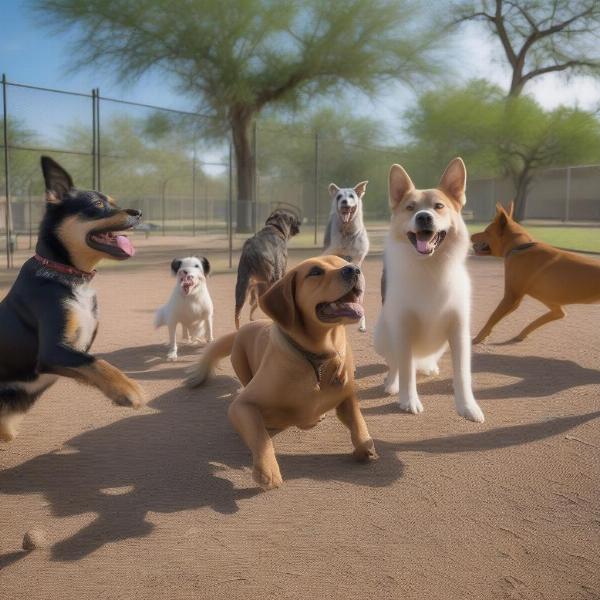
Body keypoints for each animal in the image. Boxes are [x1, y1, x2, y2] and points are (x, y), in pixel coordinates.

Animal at [0, 157, 145, 442]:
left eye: (113, 201)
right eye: (97, 204)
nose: (138, 212)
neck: (69, 275)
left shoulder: (69, 351)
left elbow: (90, 364)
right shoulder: (52, 350)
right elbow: (97, 362)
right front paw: (128, 388)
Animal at [185, 255, 378, 490]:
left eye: (344, 261)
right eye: (315, 272)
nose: (354, 269)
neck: (317, 358)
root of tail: (245, 327)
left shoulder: (347, 394)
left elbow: (358, 420)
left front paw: (365, 446)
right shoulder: (242, 405)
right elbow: (261, 436)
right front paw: (267, 470)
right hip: (239, 359)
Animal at [378, 158, 486, 422]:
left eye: (438, 206)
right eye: (410, 207)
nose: (424, 217)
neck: (430, 268)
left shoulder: (459, 330)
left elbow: (463, 374)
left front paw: (468, 406)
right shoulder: (402, 328)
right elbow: (406, 370)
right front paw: (408, 400)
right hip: (383, 333)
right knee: (395, 365)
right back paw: (392, 383)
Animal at [474, 203, 600, 344]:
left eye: (486, 231)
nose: (470, 236)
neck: (520, 246)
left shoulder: (511, 298)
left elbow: (492, 318)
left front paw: (479, 337)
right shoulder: (554, 307)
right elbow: (547, 318)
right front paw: (522, 334)